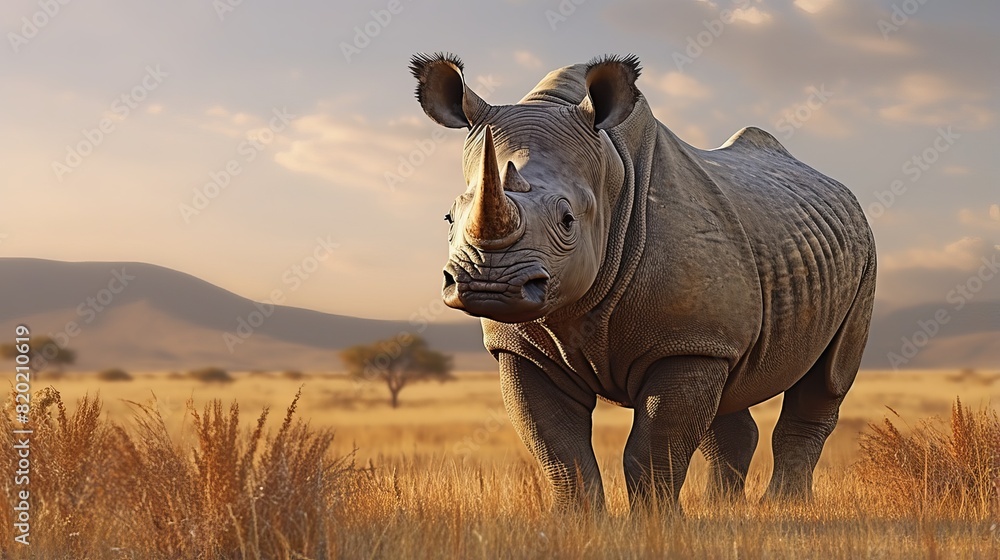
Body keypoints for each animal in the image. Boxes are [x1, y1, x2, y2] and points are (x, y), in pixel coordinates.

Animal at [410, 52, 876, 510]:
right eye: (449, 218)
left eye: (567, 220)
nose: (489, 285)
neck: (610, 175)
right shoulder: (522, 348)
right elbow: (558, 448)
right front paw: (578, 522)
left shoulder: (686, 341)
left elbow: (654, 446)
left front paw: (656, 522)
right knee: (729, 389)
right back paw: (722, 509)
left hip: (865, 251)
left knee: (827, 379)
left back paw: (784, 507)